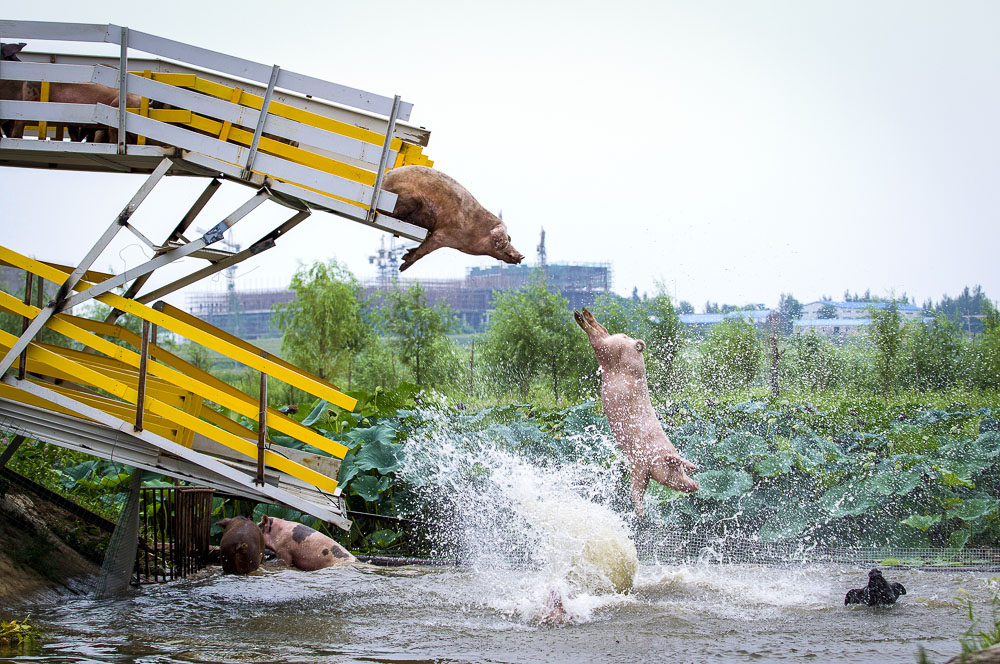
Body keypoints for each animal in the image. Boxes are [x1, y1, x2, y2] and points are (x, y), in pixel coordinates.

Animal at [380, 165, 525, 271]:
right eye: (506, 240)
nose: (522, 256)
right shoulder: (443, 236)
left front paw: (406, 254)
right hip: (408, 198)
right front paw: (402, 267)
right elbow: (424, 250)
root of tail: (383, 181)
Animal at [574, 308, 699, 516]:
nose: (696, 485)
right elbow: (636, 489)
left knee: (602, 330)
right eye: (676, 469)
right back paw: (579, 316)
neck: (655, 454)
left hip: (610, 344)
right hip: (607, 349)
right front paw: (640, 513)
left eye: (684, 468)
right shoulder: (639, 464)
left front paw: (640, 514)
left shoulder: (643, 469)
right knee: (596, 337)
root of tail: (633, 343)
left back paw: (583, 313)